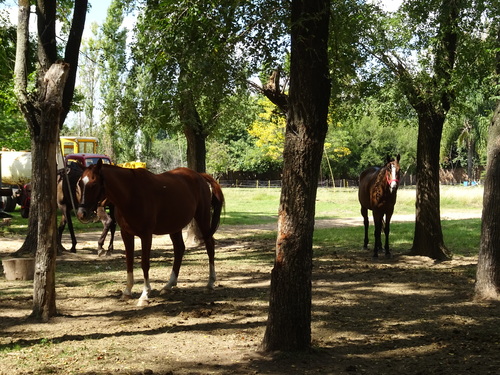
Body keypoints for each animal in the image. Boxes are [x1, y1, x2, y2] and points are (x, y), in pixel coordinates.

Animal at [75, 160, 224, 306]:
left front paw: (144, 295)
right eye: (80, 183)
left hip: (202, 218)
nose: (81, 214)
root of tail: (199, 176)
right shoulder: (126, 234)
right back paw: (168, 285)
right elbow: (129, 262)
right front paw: (127, 292)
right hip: (174, 226)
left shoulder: (146, 235)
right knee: (179, 249)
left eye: (94, 184)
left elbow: (144, 263)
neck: (131, 193)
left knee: (209, 246)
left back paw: (210, 283)